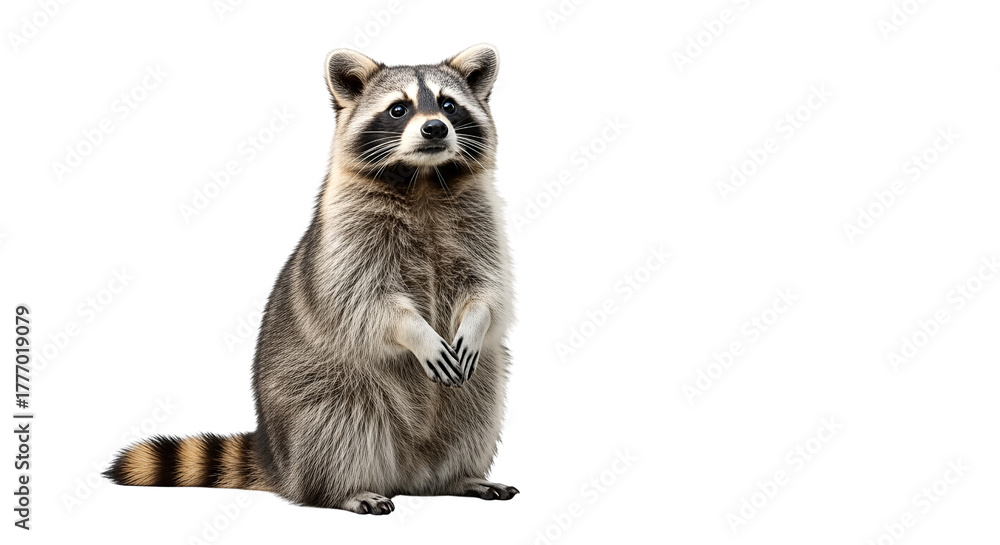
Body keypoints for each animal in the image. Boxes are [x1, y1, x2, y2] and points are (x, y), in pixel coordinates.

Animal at [105, 44, 518, 514]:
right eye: (399, 109)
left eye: (449, 105)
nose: (435, 128)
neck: (424, 180)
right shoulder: (347, 236)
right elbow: (366, 299)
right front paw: (415, 331)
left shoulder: (480, 220)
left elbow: (489, 288)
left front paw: (477, 320)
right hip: (316, 390)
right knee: (337, 422)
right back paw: (343, 490)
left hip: (477, 384)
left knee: (478, 404)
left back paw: (459, 476)